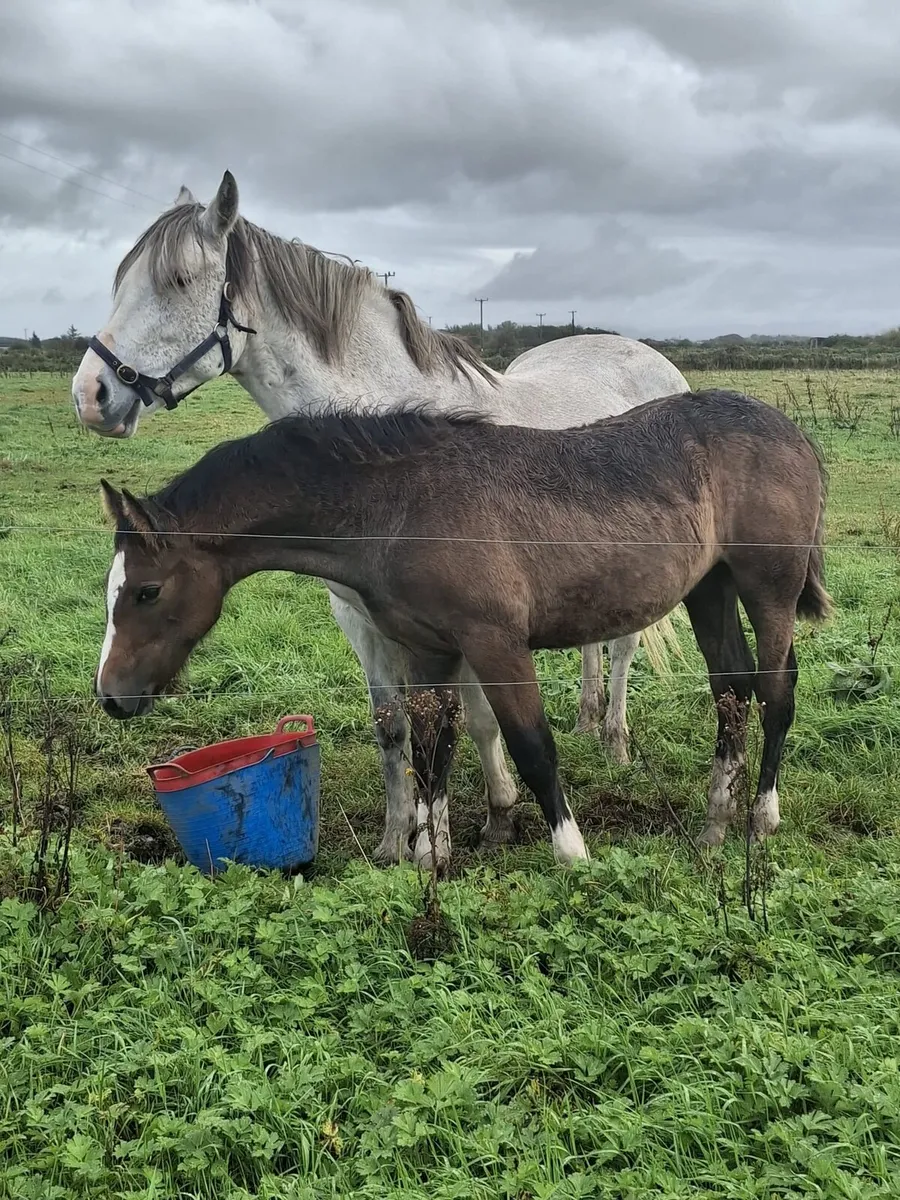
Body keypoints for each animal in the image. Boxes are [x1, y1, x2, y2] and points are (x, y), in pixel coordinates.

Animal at [71, 168, 691, 866]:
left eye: (177, 280)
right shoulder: (361, 618)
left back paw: (613, 739)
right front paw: (400, 838)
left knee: (622, 647)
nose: (91, 395)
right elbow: (394, 726)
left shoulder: (467, 627)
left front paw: (486, 820)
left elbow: (475, 721)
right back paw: (585, 718)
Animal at [94, 388, 831, 871]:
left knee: (777, 690)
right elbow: (431, 752)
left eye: (147, 590)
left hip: (768, 588)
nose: (111, 696)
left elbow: (532, 747)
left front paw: (571, 853)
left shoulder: (496, 643)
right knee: (732, 689)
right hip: (711, 589)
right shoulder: (430, 650)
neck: (398, 506)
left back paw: (760, 818)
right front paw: (429, 857)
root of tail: (791, 431)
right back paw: (714, 824)